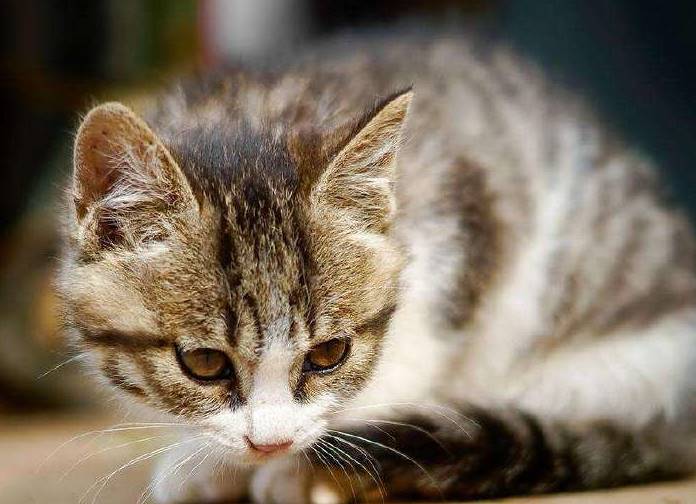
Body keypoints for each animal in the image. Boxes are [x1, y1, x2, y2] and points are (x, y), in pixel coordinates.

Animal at [58, 32, 696, 503]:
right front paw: (214, 462)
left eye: (329, 354)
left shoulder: (460, 228)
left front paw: (300, 469)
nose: (271, 444)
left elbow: (407, 361)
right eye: (204, 363)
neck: (257, 114)